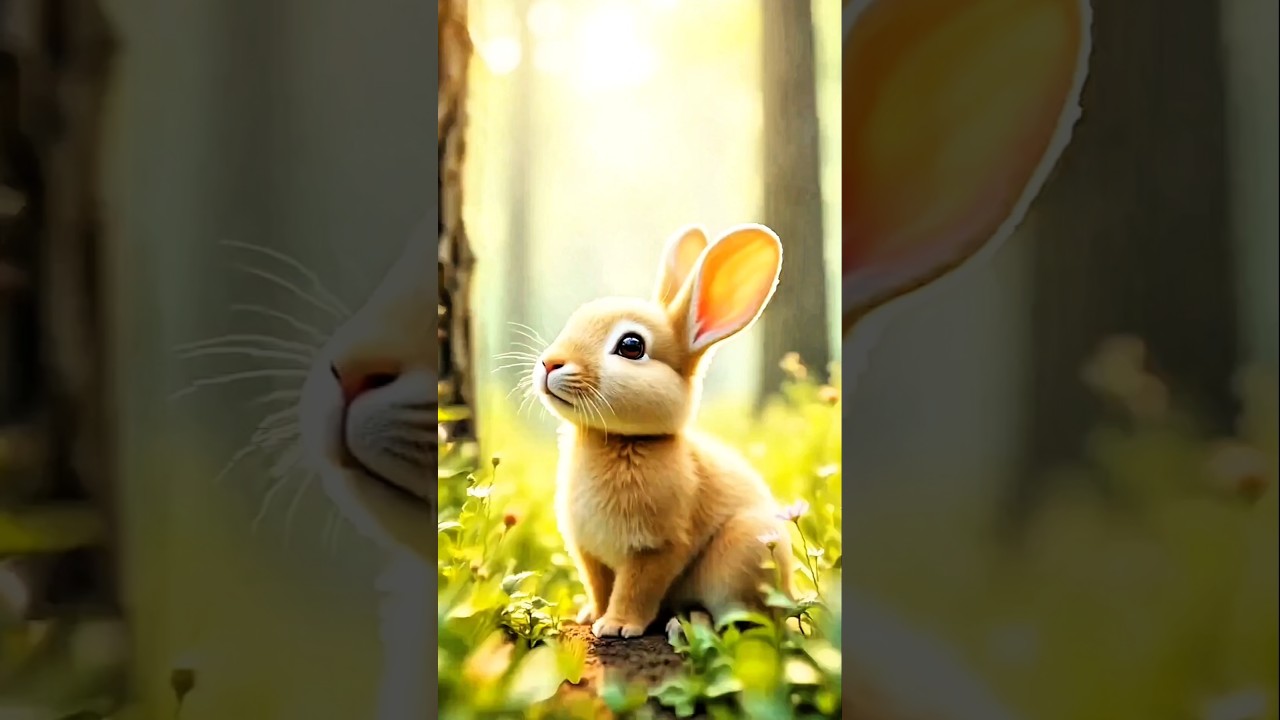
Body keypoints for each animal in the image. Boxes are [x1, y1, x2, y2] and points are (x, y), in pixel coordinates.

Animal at [532, 223, 797, 640]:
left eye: (631, 346)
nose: (549, 363)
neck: (621, 440)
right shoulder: (589, 552)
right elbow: (599, 586)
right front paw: (591, 616)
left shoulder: (656, 548)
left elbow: (635, 589)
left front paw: (616, 627)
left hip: (741, 554)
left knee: (748, 623)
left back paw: (686, 626)